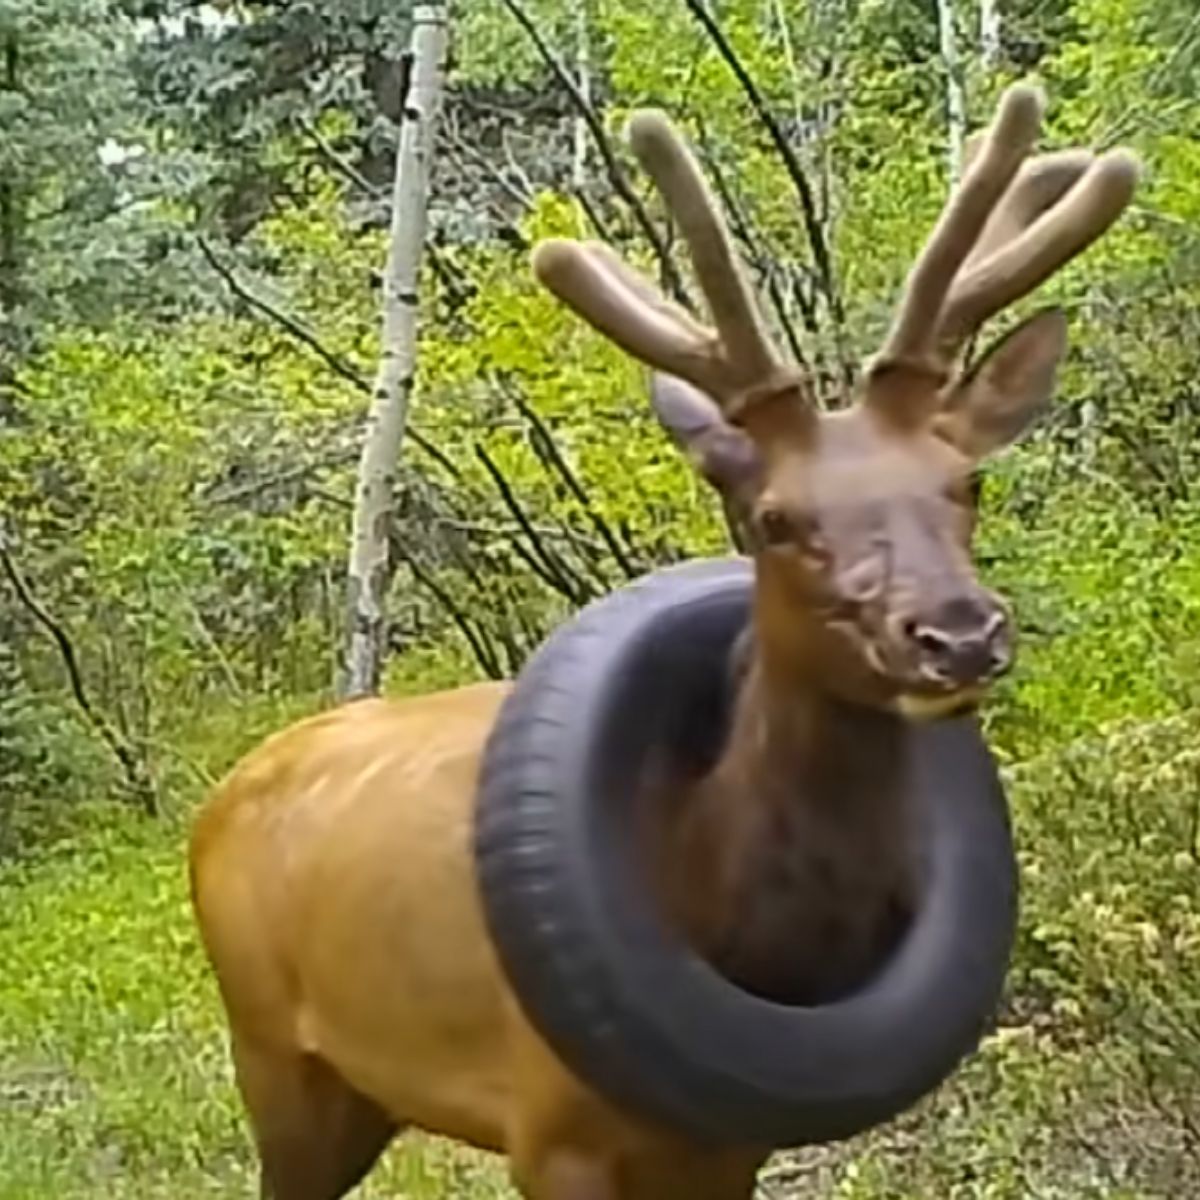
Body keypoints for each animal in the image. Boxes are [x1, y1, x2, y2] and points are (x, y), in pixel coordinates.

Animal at [187, 84, 1132, 1200]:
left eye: (965, 481)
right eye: (774, 517)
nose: (958, 633)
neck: (731, 913)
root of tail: (222, 797)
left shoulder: (728, 1141)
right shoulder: (552, 1131)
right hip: (273, 1051)